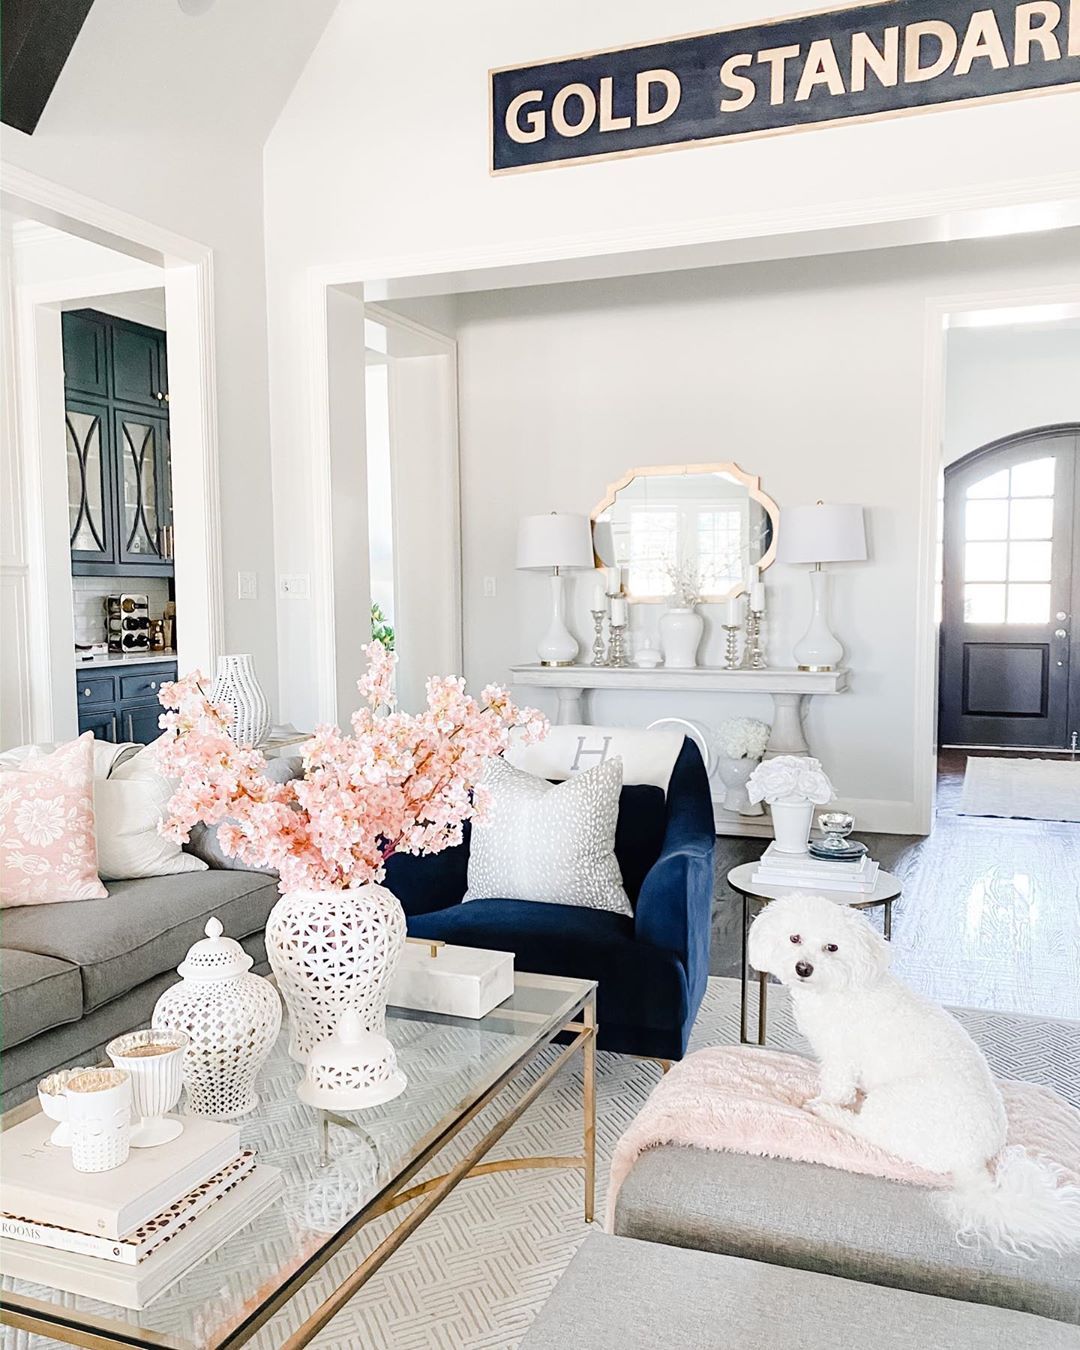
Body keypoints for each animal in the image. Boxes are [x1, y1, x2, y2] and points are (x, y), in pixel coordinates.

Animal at [745, 896, 1080, 1252]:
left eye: (832, 947)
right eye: (794, 938)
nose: (803, 968)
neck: (841, 986)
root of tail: (971, 1160)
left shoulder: (841, 1058)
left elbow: (837, 1088)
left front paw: (826, 1100)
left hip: (892, 1101)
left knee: (867, 1131)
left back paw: (828, 1112)